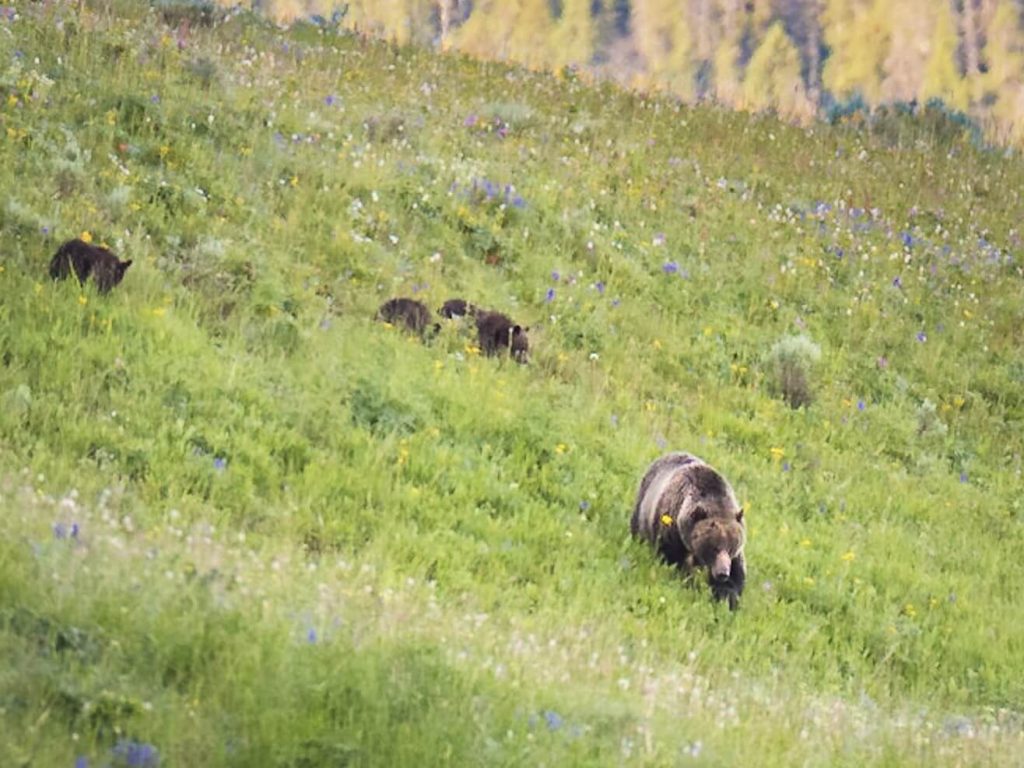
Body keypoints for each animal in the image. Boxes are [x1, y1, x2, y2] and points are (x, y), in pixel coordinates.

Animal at [626, 454, 749, 610]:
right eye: (714, 548)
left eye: (731, 547)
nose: (722, 573)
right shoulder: (672, 533)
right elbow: (673, 562)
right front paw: (689, 584)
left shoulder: (733, 557)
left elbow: (734, 578)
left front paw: (726, 599)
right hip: (642, 508)